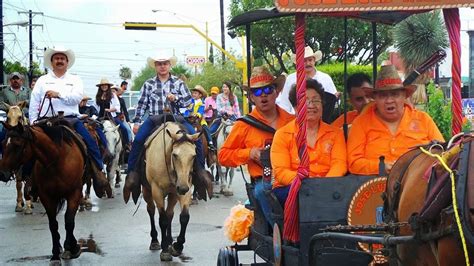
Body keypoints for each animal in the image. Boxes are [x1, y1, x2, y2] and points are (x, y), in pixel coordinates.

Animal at [0, 114, 92, 262]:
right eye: (3, 144)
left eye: (17, 145)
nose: (2, 173)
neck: (57, 159)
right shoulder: (46, 196)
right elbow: (53, 224)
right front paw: (55, 253)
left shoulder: (74, 193)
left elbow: (69, 221)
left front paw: (71, 248)